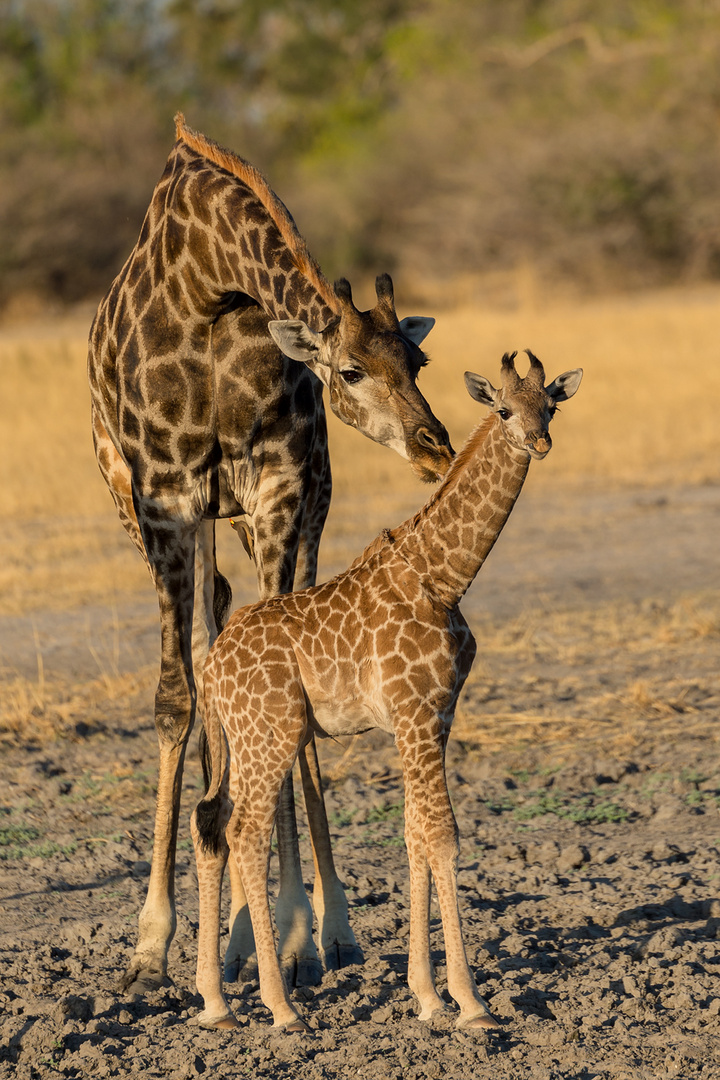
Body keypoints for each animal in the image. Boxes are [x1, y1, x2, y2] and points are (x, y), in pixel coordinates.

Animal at [88, 116, 451, 993]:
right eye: (349, 370)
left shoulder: (280, 492)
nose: (436, 448)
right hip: (146, 508)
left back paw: (309, 929)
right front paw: (152, 942)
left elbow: (287, 699)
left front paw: (291, 930)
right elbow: (175, 699)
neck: (211, 290)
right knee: (205, 661)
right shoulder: (166, 497)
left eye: (416, 361)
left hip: (287, 516)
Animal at [193, 352, 587, 1028]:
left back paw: (217, 1003)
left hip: (241, 739)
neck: (445, 576)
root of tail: (214, 666)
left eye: (551, 406)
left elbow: (413, 834)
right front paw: (470, 1003)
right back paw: (282, 1007)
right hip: (273, 734)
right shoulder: (417, 715)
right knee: (244, 831)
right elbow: (442, 835)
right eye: (503, 408)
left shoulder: (431, 719)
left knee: (213, 823)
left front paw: (426, 996)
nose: (539, 441)